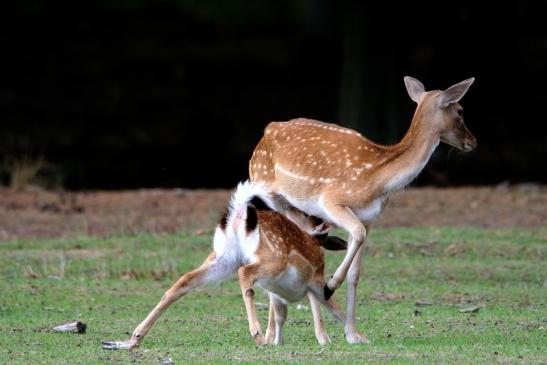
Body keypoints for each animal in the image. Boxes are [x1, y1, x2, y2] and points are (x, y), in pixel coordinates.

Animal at [103, 181, 346, 348]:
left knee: (183, 281)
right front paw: (327, 339)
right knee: (244, 273)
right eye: (307, 214)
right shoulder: (313, 278)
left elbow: (280, 307)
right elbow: (320, 302)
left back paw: (134, 337)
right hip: (268, 260)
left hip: (221, 258)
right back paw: (257, 334)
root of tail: (239, 213)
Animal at [250, 75, 478, 342]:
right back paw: (287, 335)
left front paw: (354, 334)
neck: (377, 180)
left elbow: (355, 273)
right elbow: (353, 239)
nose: (473, 142)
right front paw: (330, 286)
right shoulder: (332, 201)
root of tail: (265, 133)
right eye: (460, 110)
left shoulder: (368, 218)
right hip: (270, 193)